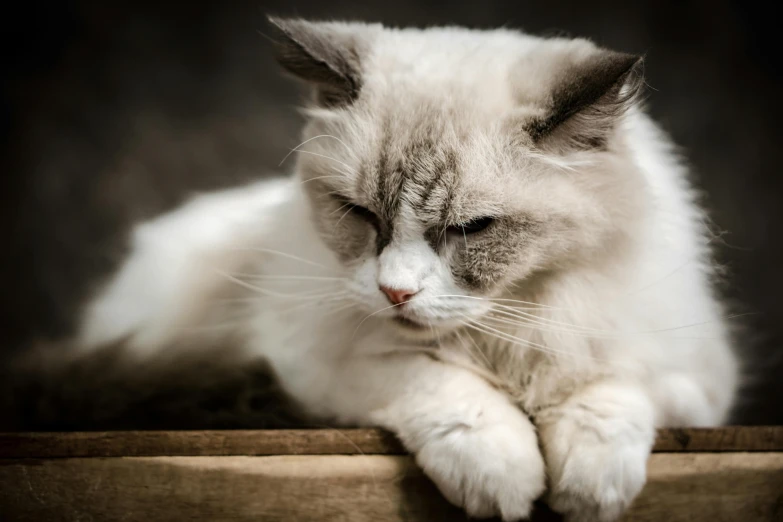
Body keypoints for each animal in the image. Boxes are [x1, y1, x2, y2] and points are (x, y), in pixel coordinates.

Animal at [73, 17, 740, 520]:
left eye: (470, 229)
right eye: (361, 214)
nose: (394, 292)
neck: (504, 335)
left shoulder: (690, 381)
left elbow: (612, 391)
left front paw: (589, 489)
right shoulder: (309, 363)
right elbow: (439, 388)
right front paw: (508, 476)